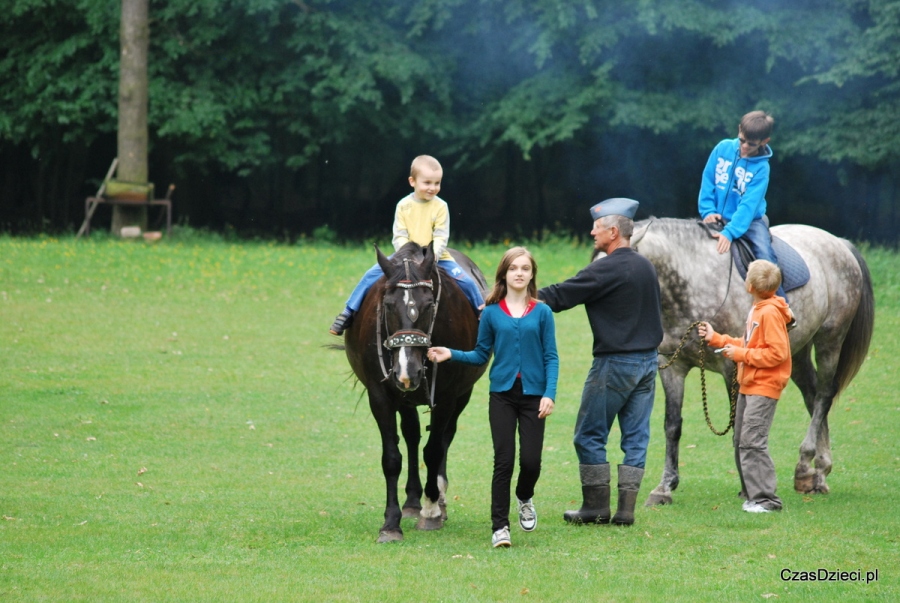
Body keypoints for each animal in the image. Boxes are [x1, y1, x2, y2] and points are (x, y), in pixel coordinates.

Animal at [342, 243, 486, 544]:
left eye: (429, 305)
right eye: (387, 305)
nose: (408, 371)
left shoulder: (446, 396)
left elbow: (433, 450)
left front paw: (430, 512)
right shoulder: (380, 397)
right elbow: (391, 458)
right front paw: (390, 523)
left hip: (462, 395)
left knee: (444, 438)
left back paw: (438, 500)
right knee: (411, 435)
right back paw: (411, 502)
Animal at [624, 219, 872, 508]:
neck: (694, 279)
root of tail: (839, 243)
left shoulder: (731, 367)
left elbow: (738, 428)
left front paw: (747, 487)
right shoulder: (672, 367)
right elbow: (672, 426)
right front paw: (664, 488)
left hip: (830, 339)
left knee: (824, 395)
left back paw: (809, 466)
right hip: (797, 352)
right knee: (812, 396)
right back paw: (816, 471)